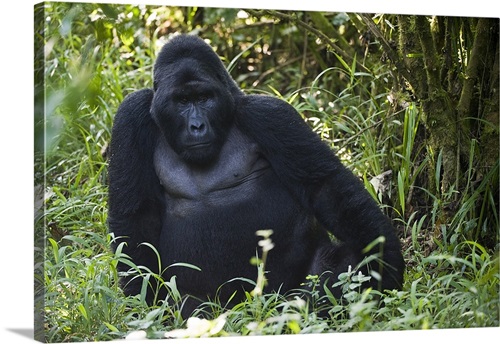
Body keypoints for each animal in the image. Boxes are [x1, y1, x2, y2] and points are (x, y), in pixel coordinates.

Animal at [107, 33, 404, 314]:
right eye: (181, 101)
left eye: (204, 98)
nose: (197, 126)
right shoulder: (131, 115)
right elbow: (135, 215)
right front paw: (143, 296)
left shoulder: (270, 114)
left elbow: (324, 186)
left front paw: (385, 261)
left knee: (339, 266)